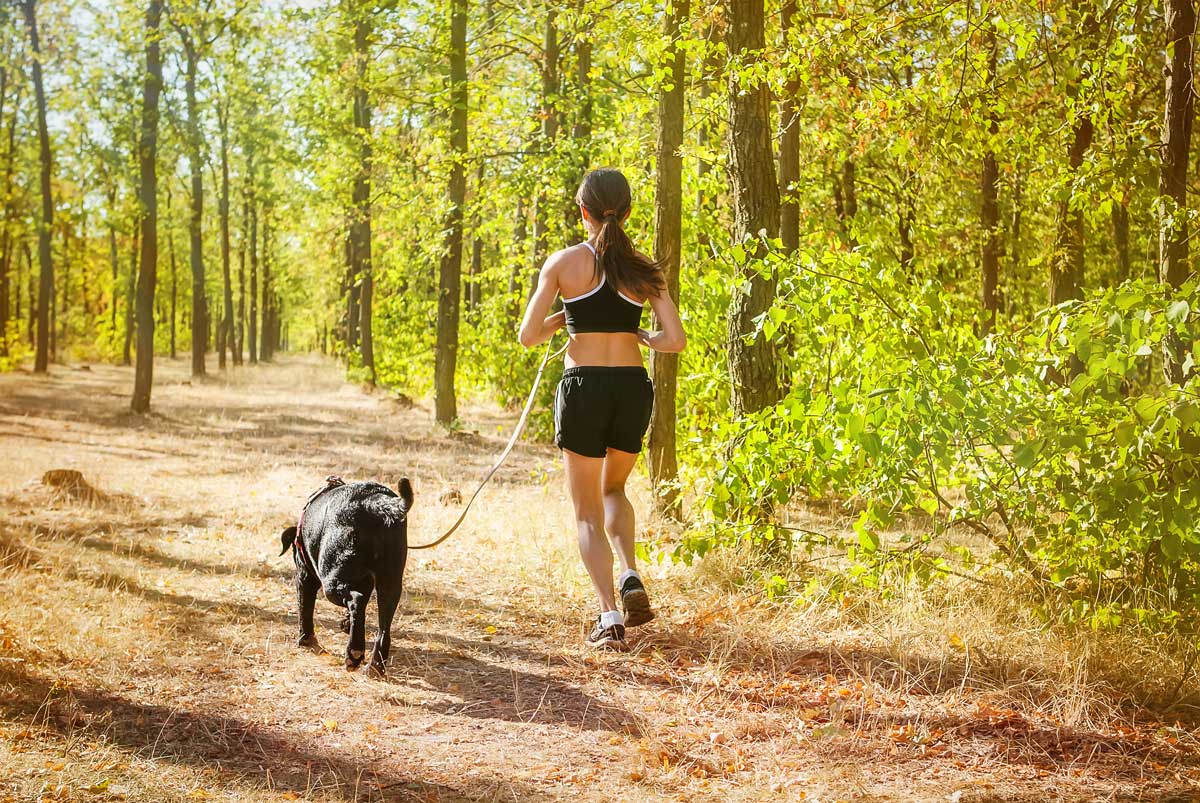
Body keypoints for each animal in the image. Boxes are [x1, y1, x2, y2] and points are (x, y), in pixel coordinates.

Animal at [278, 475, 415, 672]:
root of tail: (374, 503)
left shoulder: (305, 577)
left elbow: (304, 609)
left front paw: (305, 641)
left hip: (331, 579)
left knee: (356, 601)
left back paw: (354, 653)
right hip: (390, 582)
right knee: (382, 629)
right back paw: (374, 666)